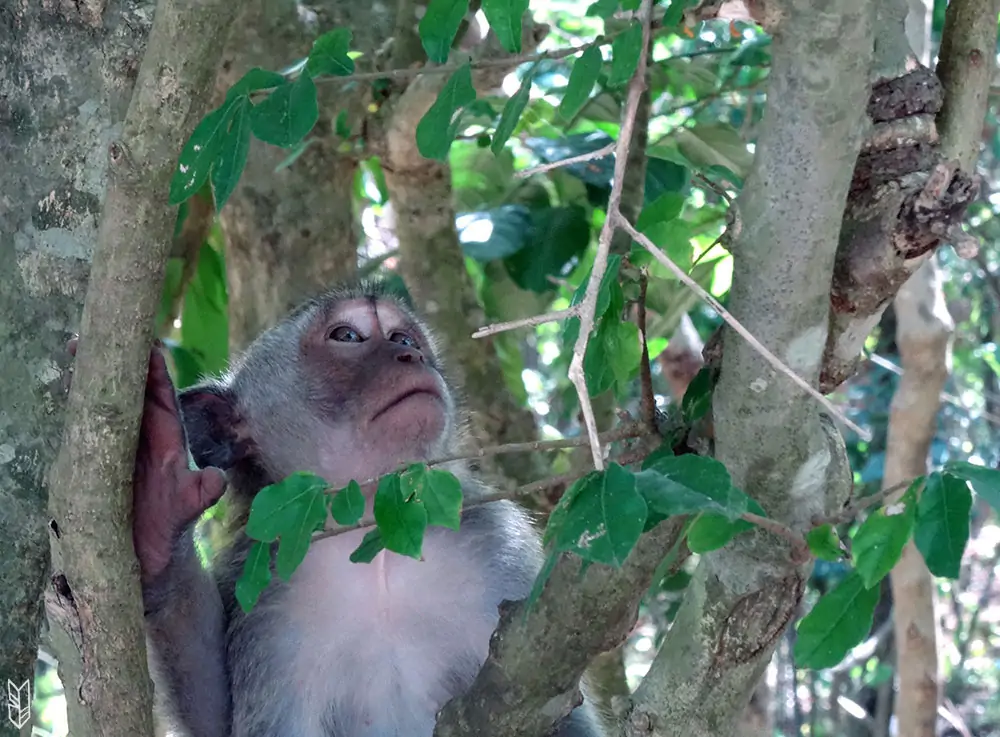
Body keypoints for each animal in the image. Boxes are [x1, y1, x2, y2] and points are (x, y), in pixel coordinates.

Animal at [131, 282, 600, 736]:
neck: (377, 534)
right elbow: (223, 719)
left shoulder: (499, 544)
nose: (411, 355)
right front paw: (160, 509)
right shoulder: (262, 588)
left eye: (403, 337)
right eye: (347, 336)